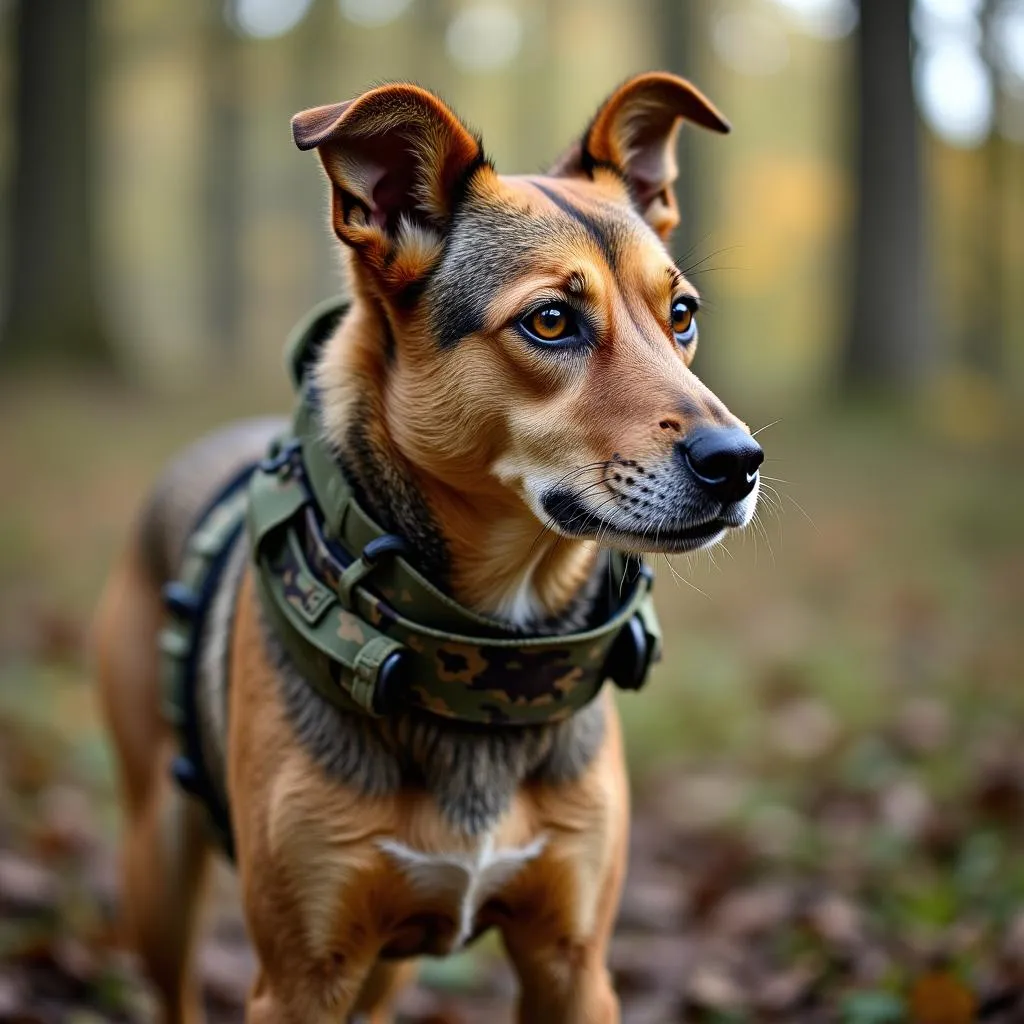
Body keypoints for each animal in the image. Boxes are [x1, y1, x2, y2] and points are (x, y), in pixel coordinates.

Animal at [94, 74, 761, 1024]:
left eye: (682, 315)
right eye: (550, 320)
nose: (738, 462)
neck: (486, 641)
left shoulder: (573, 964)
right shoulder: (299, 979)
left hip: (387, 962)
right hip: (157, 862)